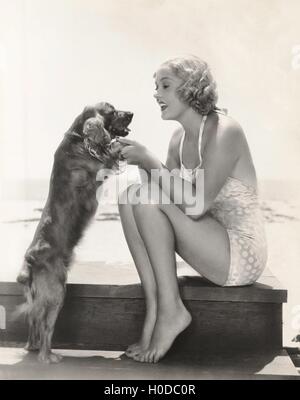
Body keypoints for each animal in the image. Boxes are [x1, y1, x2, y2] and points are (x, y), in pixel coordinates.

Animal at [15, 102, 133, 362]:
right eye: (111, 111)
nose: (131, 113)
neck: (78, 138)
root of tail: (30, 261)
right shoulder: (100, 165)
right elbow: (112, 150)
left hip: (36, 297)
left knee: (33, 322)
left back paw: (33, 347)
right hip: (57, 292)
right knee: (46, 326)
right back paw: (48, 356)